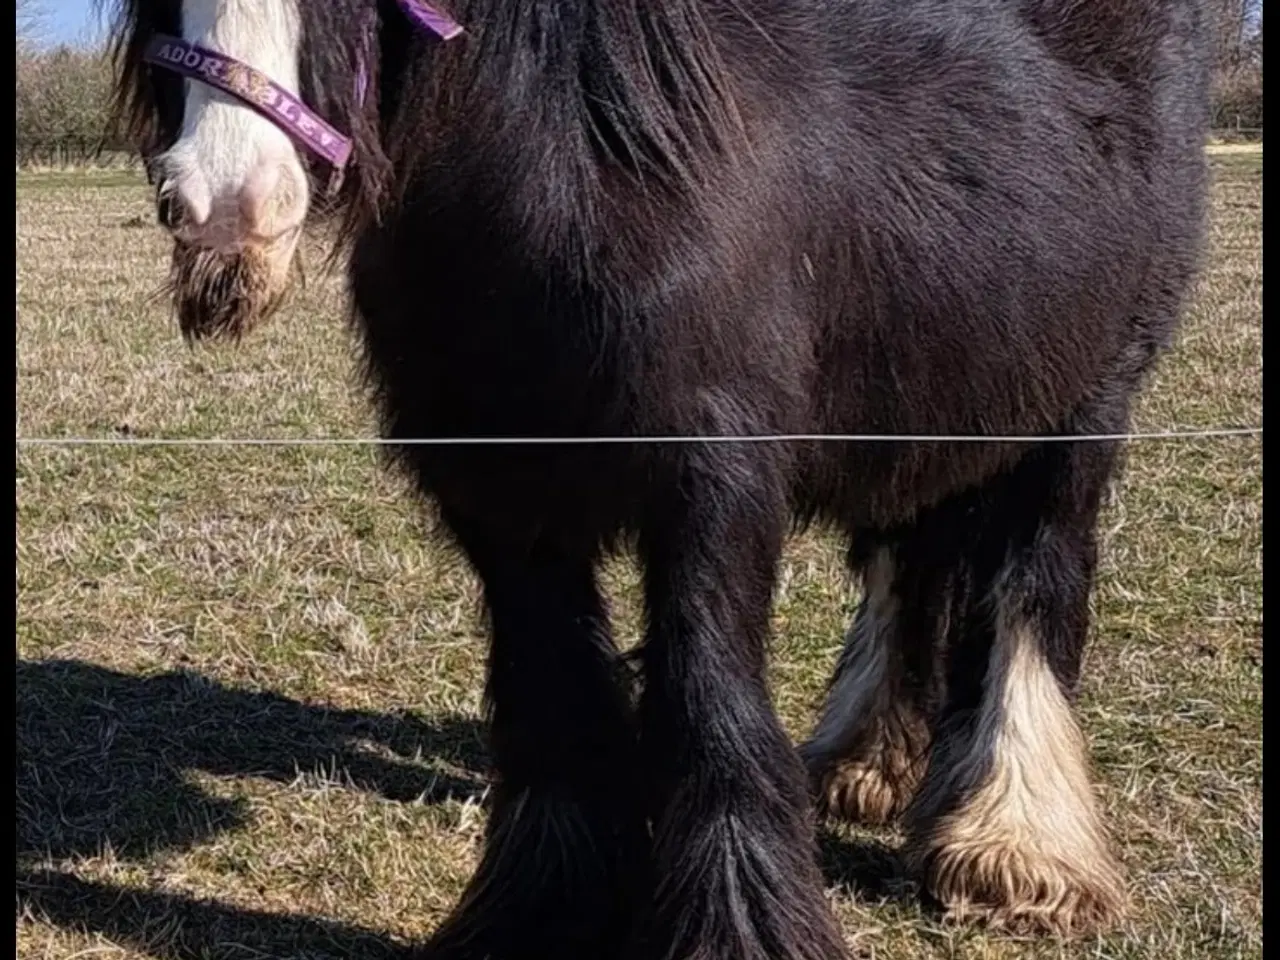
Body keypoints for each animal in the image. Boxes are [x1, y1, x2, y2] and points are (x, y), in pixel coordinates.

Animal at [107, 0, 1208, 957]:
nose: (225, 208)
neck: (580, 183)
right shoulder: (500, 505)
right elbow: (553, 695)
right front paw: (542, 914)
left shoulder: (713, 490)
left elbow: (707, 705)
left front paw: (740, 929)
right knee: (908, 569)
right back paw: (864, 766)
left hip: (1080, 414)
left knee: (1031, 585)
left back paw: (1017, 849)